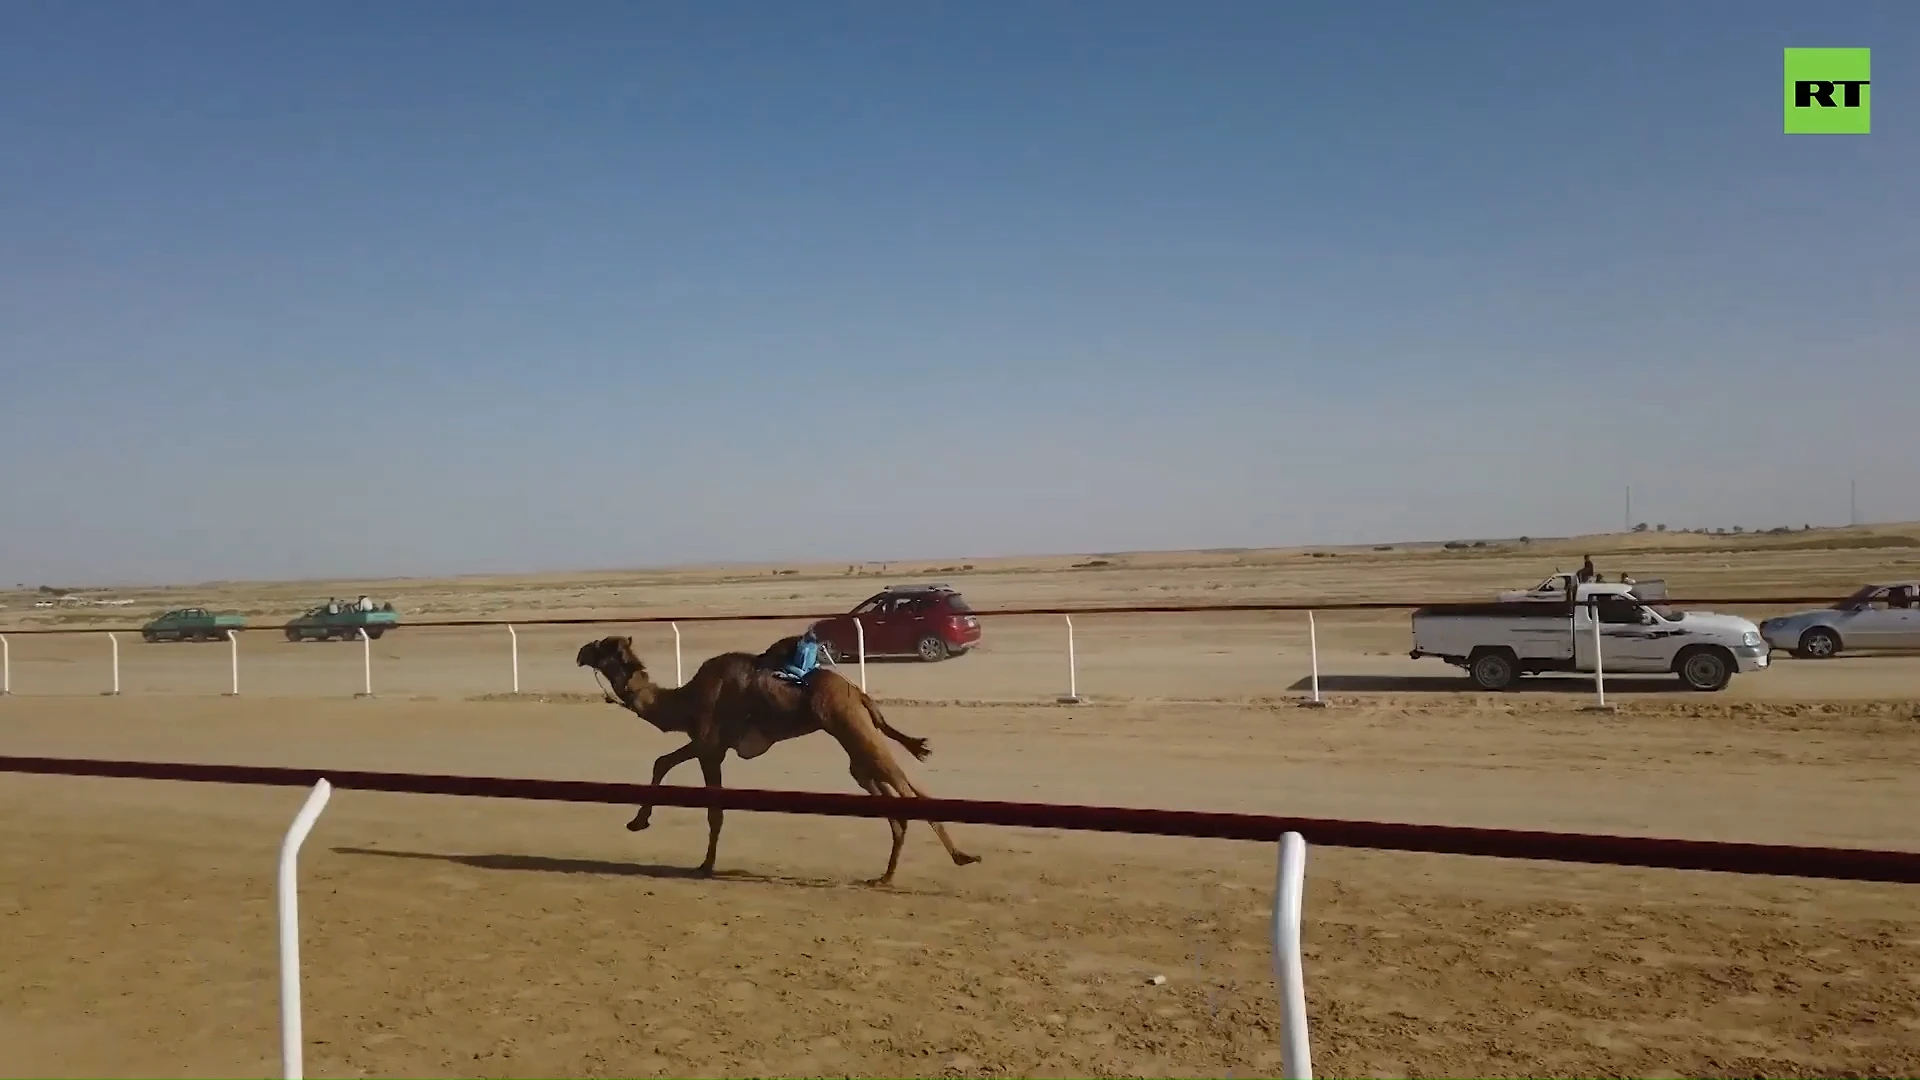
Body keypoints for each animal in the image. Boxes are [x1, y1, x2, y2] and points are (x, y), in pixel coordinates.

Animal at [568, 634, 975, 880]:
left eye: (603, 646)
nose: (581, 651)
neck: (684, 701)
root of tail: (859, 694)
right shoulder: (709, 745)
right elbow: (662, 763)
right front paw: (638, 822)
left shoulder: (709, 747)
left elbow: (714, 810)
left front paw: (706, 864)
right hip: (854, 743)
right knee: (886, 789)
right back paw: (888, 875)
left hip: (852, 727)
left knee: (905, 786)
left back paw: (960, 857)